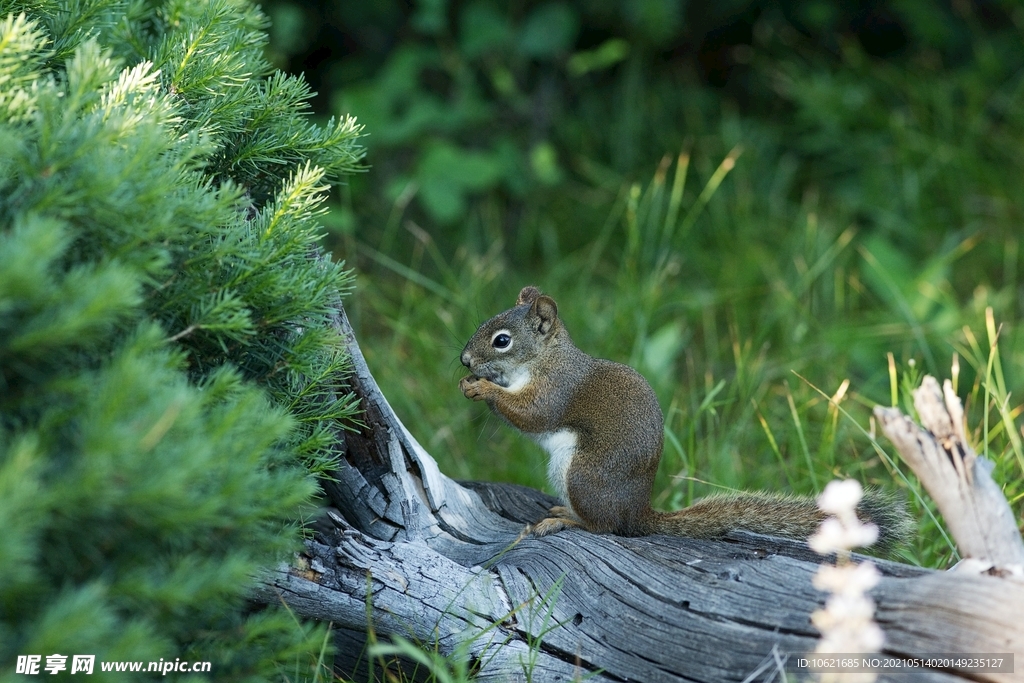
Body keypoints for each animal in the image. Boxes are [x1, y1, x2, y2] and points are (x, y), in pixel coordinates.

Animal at [460, 286, 909, 552]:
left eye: (502, 341)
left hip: (584, 475)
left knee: (605, 526)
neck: (544, 359)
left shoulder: (558, 389)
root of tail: (638, 511)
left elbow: (532, 415)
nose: (464, 360)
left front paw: (482, 389)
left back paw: (566, 520)